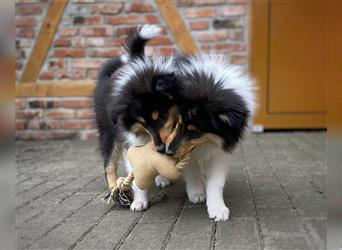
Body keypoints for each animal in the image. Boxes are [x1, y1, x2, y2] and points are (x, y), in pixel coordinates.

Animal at [93, 24, 179, 210]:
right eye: (142, 122)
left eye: (163, 116)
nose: (160, 148)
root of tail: (103, 80)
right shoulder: (132, 140)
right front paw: (139, 201)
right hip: (107, 134)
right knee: (109, 165)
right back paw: (113, 191)